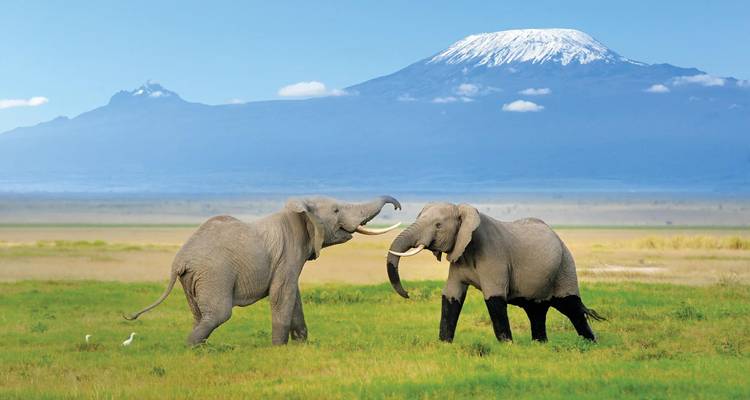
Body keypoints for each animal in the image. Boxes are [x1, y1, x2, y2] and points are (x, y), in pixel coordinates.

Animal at [125, 196, 401, 346]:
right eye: (335, 211)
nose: (398, 207)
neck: (298, 209)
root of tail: (178, 262)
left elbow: (294, 297)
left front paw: (302, 346)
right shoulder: (288, 253)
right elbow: (283, 295)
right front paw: (279, 348)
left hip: (193, 279)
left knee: (199, 315)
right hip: (214, 274)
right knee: (218, 314)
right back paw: (192, 349)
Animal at [386, 202, 604, 343]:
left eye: (438, 225)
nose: (407, 294)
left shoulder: (494, 257)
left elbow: (494, 298)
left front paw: (507, 346)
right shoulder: (459, 255)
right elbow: (451, 296)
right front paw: (444, 344)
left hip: (565, 265)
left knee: (571, 306)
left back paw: (590, 343)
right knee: (537, 311)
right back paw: (540, 344)